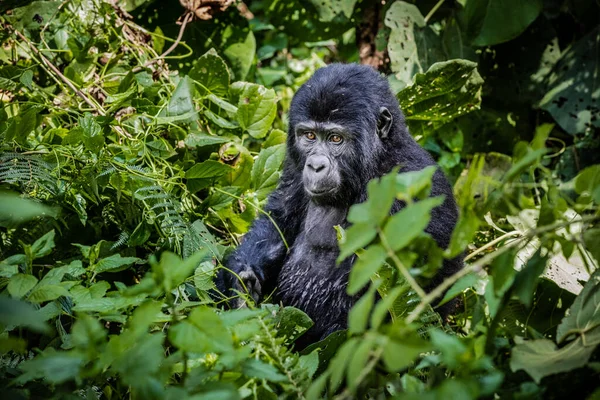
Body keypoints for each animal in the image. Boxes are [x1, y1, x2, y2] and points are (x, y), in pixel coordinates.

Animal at [218, 64, 462, 346]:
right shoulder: (294, 166)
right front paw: (240, 281)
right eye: (309, 136)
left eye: (335, 139)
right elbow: (278, 221)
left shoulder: (412, 185)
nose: (315, 165)